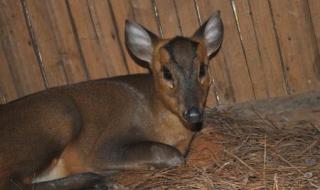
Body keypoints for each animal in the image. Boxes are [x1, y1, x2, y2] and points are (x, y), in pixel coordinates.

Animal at [0, 11, 222, 189]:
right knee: (11, 183)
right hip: (58, 117)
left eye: (202, 69)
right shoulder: (103, 147)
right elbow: (171, 155)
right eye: (166, 72)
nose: (193, 112)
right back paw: (100, 180)